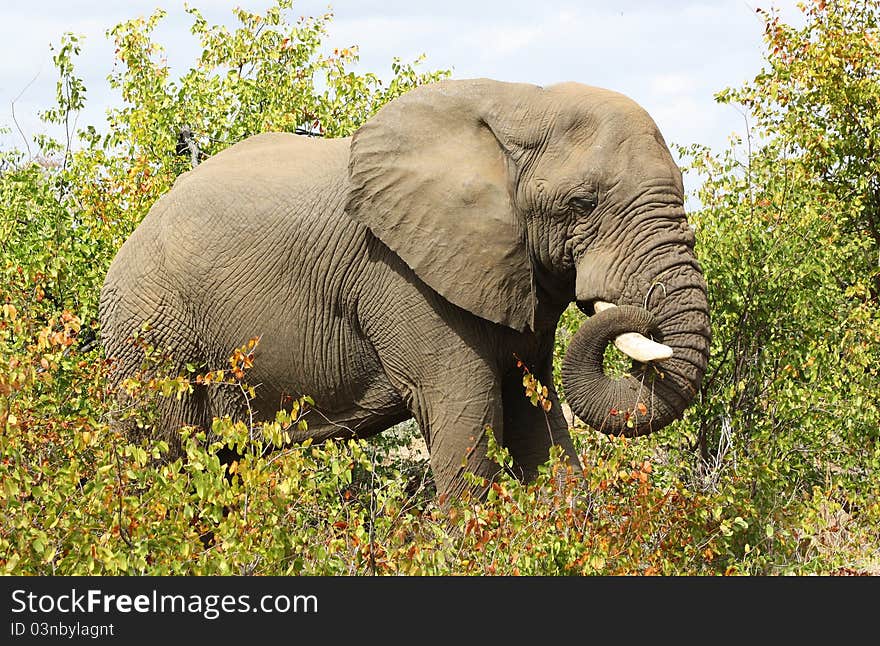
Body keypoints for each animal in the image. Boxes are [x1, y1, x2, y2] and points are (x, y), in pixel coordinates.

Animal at [99, 77, 712, 502]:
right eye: (582, 204)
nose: (642, 312)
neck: (521, 105)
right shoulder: (405, 278)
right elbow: (466, 411)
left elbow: (537, 416)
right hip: (151, 333)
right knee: (162, 452)